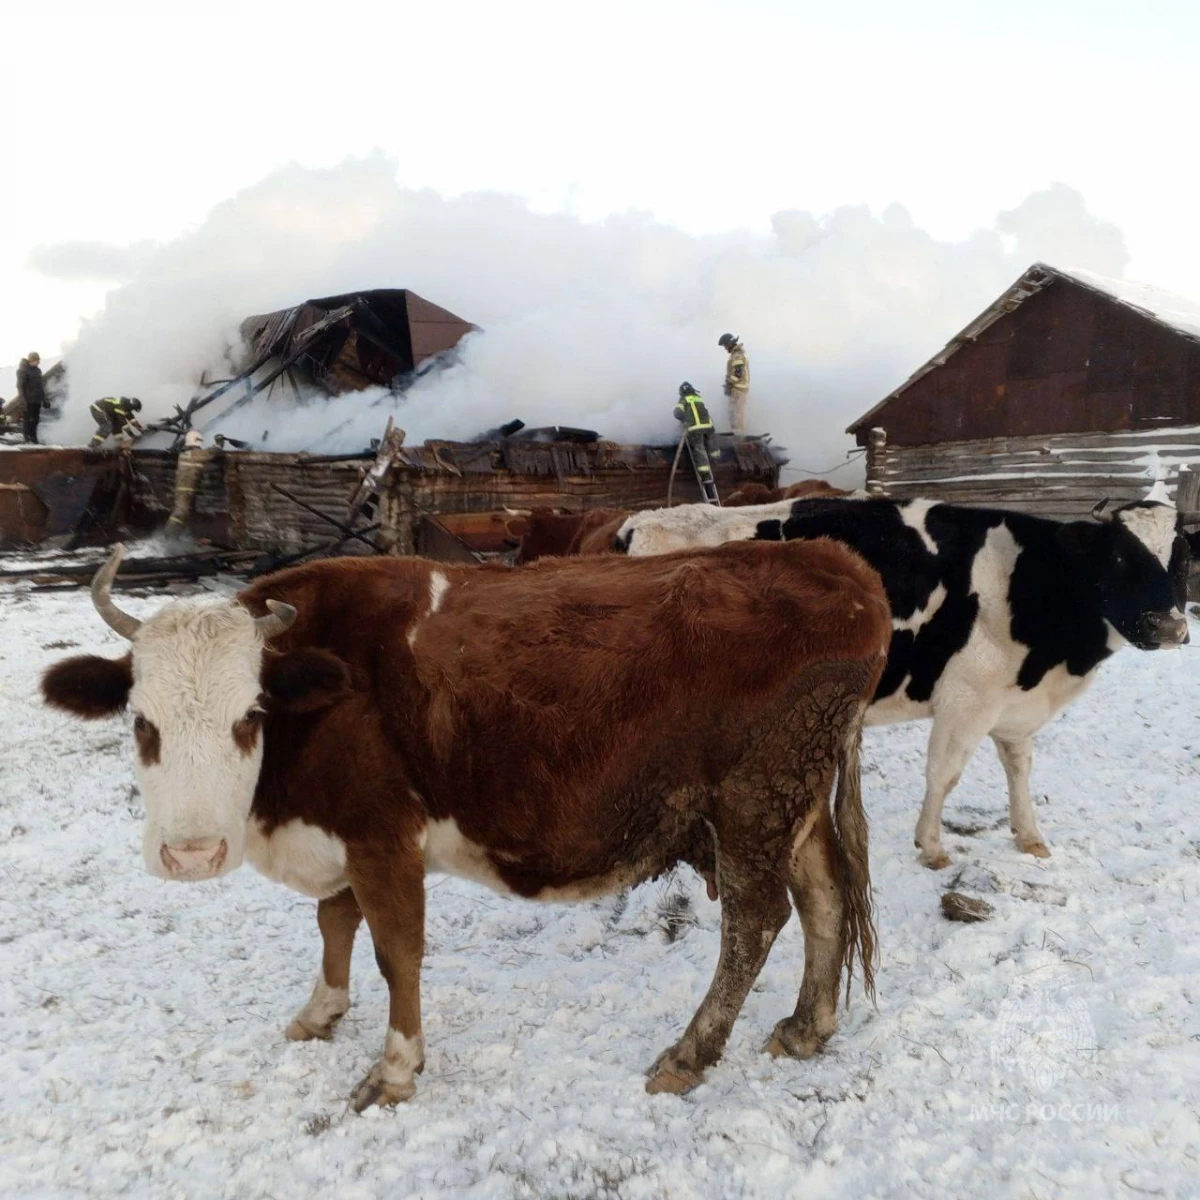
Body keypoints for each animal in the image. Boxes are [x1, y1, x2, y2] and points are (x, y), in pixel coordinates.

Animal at [42, 540, 888, 1108]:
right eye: (141, 722)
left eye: (250, 715)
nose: (191, 854)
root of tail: (837, 562)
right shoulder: (342, 828)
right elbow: (334, 922)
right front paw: (320, 1013)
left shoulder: (381, 835)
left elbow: (395, 952)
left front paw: (393, 1069)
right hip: (793, 800)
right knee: (824, 896)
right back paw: (808, 1026)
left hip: (754, 800)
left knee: (756, 920)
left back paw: (688, 1053)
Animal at [614, 496, 1195, 873]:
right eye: (1118, 556)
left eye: (1183, 558)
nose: (1168, 626)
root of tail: (639, 522)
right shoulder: (966, 700)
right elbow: (944, 776)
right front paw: (932, 847)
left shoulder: (1012, 705)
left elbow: (1019, 768)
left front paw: (1029, 837)